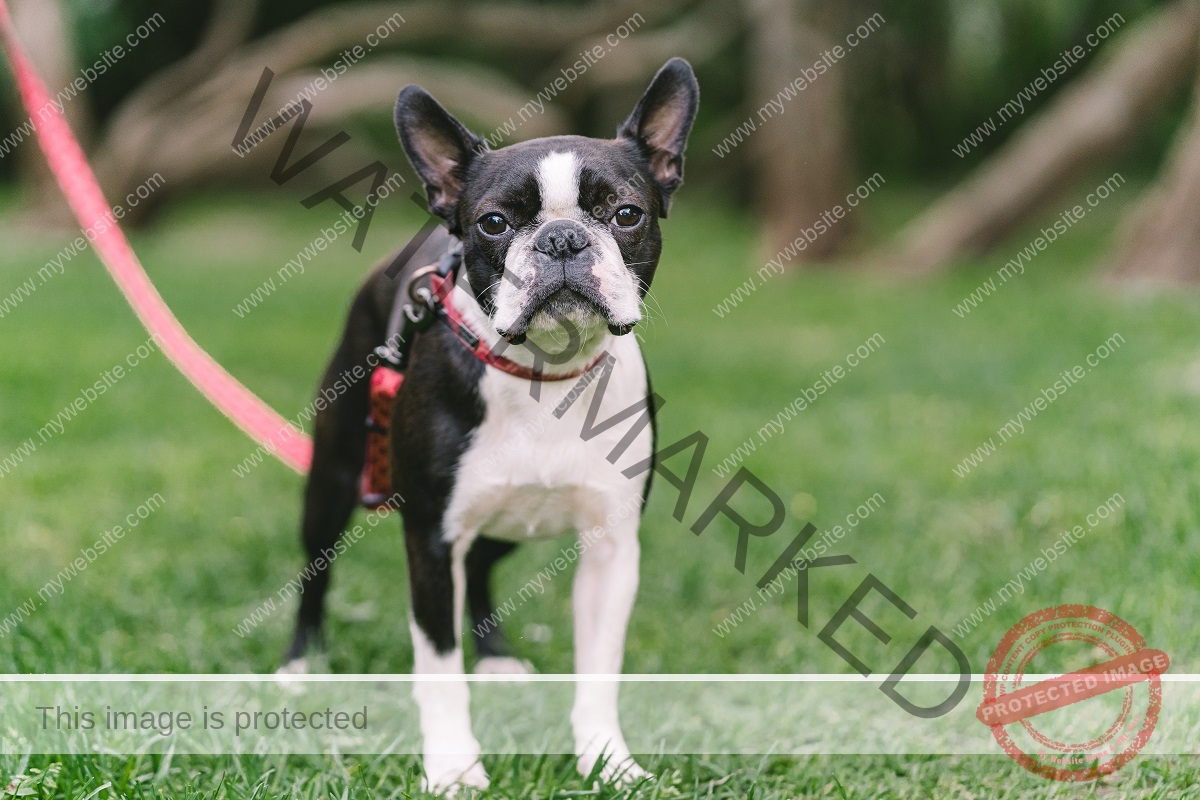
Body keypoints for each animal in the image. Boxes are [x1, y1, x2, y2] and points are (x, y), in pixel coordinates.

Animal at [277, 57, 700, 796]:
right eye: (495, 223)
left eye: (626, 214)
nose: (562, 239)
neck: (543, 377)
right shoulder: (430, 539)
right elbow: (440, 669)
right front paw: (453, 768)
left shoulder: (611, 548)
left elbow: (600, 672)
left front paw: (607, 760)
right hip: (333, 478)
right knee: (316, 572)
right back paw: (302, 663)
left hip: (505, 523)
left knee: (481, 569)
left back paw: (498, 658)